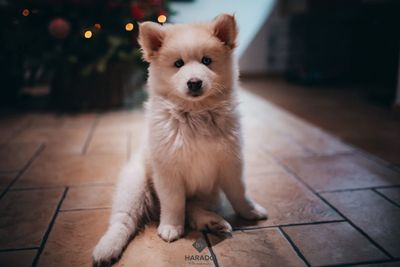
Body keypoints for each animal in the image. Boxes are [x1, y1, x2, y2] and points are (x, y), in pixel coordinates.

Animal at [93, 14, 268, 266]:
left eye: (207, 61)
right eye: (178, 64)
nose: (194, 82)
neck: (195, 113)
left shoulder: (230, 162)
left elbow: (238, 191)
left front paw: (250, 212)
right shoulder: (168, 170)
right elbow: (174, 202)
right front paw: (170, 227)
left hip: (209, 194)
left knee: (193, 209)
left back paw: (213, 222)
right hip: (133, 186)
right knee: (123, 219)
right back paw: (106, 248)